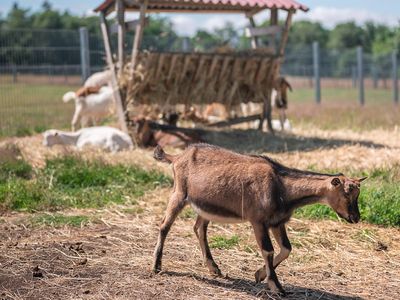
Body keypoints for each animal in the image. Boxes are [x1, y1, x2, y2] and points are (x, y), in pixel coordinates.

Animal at [152, 144, 368, 294]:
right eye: (346, 194)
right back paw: (157, 266)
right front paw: (276, 286)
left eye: (356, 194)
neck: (281, 186)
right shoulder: (258, 221)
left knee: (199, 228)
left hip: (205, 207)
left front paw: (259, 275)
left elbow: (286, 249)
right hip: (179, 193)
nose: (355, 217)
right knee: (164, 226)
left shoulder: (277, 222)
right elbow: (268, 250)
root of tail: (177, 157)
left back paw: (214, 269)